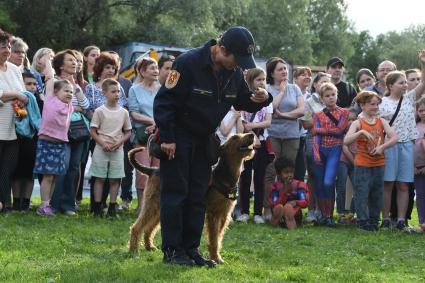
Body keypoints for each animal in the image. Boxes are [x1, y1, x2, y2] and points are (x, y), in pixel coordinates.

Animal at [128, 133, 255, 264]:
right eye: (234, 137)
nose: (252, 135)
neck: (226, 176)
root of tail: (152, 170)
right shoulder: (214, 214)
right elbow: (214, 239)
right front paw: (215, 258)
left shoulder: (224, 215)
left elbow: (218, 238)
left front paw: (217, 257)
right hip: (152, 204)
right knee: (136, 227)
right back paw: (133, 251)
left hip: (159, 209)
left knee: (148, 228)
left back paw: (149, 247)